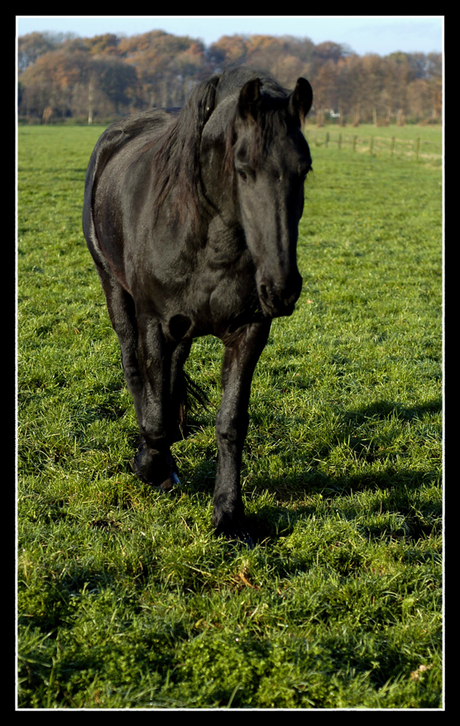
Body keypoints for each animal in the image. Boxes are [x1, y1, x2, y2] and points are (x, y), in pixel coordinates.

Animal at [82, 69, 312, 544]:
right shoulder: (153, 323)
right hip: (115, 291)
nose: (282, 288)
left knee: (170, 375)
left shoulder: (249, 332)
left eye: (305, 169)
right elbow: (153, 414)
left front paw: (229, 513)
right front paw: (151, 467)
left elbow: (231, 422)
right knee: (135, 368)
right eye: (243, 169)